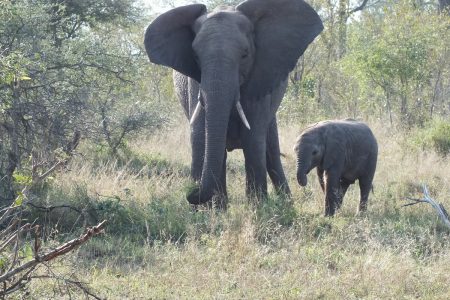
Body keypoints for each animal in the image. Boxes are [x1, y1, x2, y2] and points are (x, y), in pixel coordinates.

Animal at [145, 0, 324, 205]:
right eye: (196, 57)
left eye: (245, 55)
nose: (191, 190)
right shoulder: (195, 82)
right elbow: (200, 136)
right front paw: (209, 209)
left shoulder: (259, 78)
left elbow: (253, 139)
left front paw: (258, 207)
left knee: (271, 150)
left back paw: (286, 205)